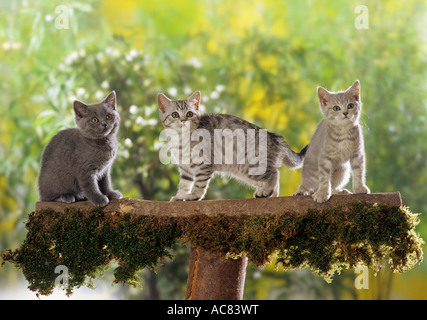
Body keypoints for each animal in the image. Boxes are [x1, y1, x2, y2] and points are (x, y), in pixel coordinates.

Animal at [157, 90, 308, 201]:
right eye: (175, 115)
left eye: (189, 114)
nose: (183, 120)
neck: (180, 140)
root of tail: (275, 137)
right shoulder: (185, 168)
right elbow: (184, 184)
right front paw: (180, 197)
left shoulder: (203, 165)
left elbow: (199, 183)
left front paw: (195, 195)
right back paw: (269, 194)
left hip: (251, 166)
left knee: (274, 174)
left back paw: (266, 191)